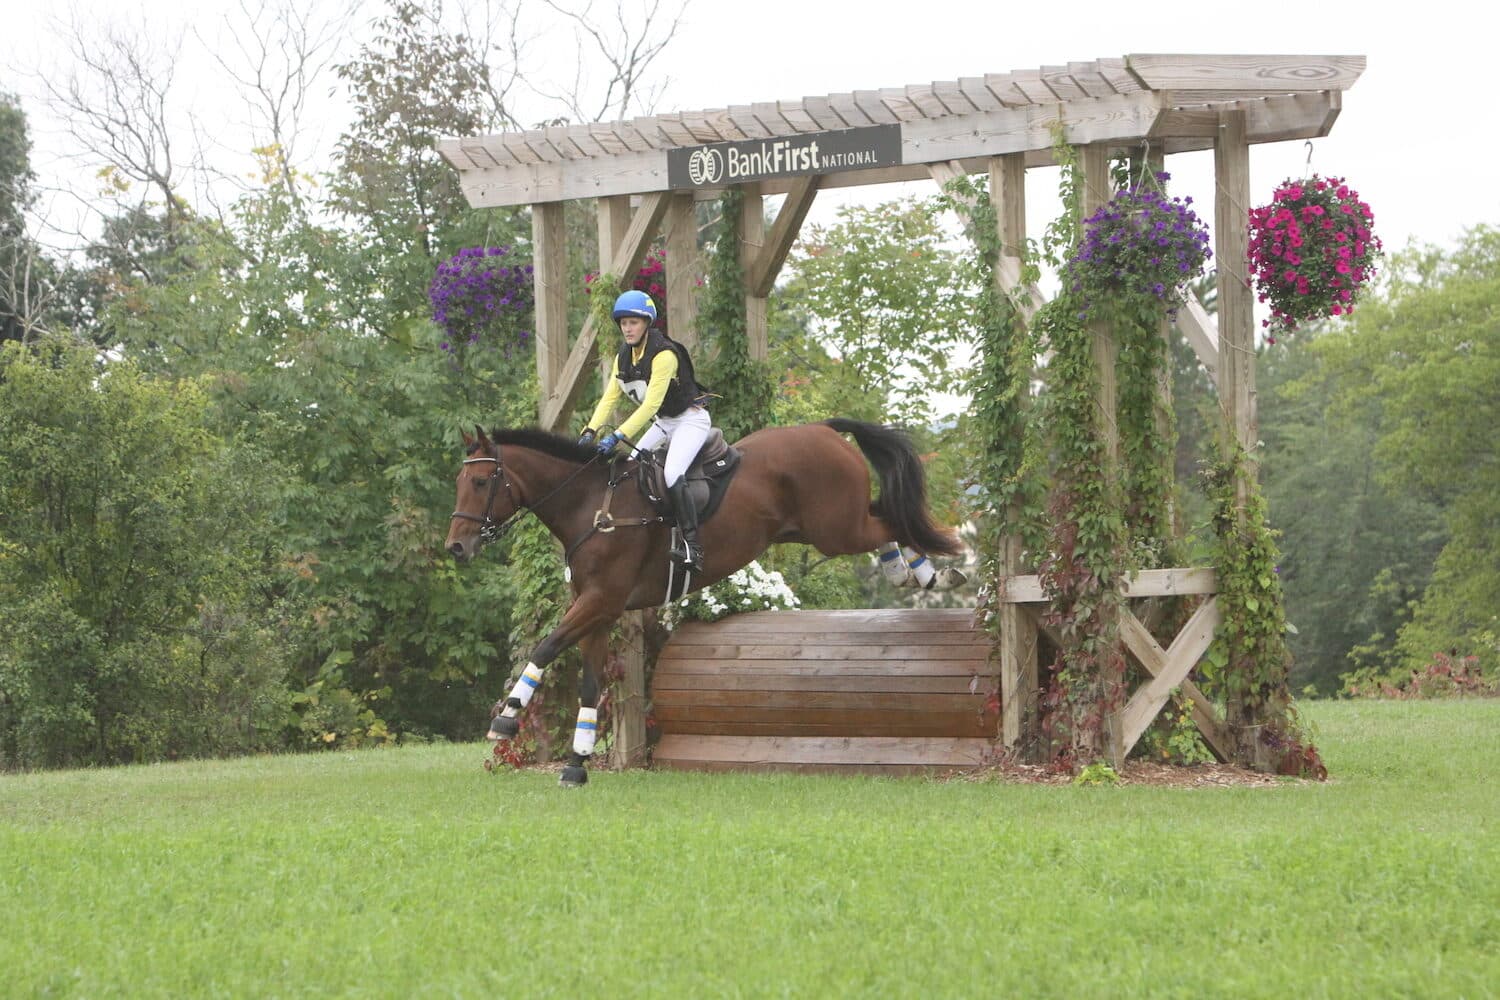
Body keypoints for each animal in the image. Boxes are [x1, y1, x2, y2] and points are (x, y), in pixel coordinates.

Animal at [445, 418, 966, 787]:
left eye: (479, 483)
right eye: (458, 482)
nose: (455, 548)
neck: (589, 504)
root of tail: (823, 430)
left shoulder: (600, 602)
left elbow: (546, 647)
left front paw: (507, 718)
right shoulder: (598, 611)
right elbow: (590, 685)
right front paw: (577, 762)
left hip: (835, 529)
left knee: (894, 519)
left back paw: (934, 573)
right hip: (826, 527)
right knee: (885, 516)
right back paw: (912, 572)